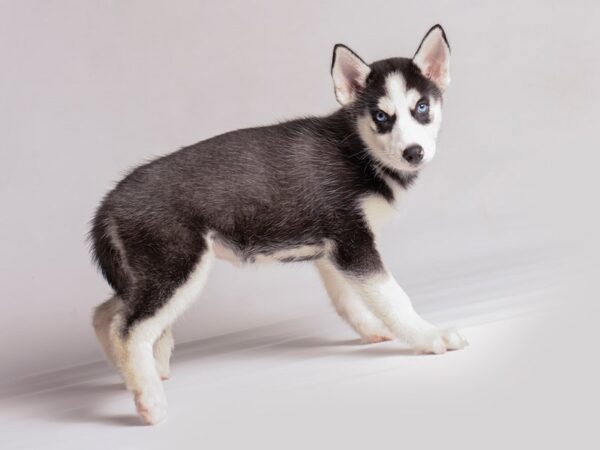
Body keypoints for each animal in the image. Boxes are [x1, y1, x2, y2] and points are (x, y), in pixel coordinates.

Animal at [90, 25, 468, 426]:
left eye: (421, 108)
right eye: (381, 116)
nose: (414, 153)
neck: (357, 151)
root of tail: (109, 201)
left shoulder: (335, 250)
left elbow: (350, 301)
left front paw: (374, 330)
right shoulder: (353, 243)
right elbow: (394, 298)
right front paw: (430, 336)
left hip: (147, 275)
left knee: (105, 315)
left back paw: (129, 374)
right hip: (177, 270)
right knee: (128, 329)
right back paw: (149, 399)